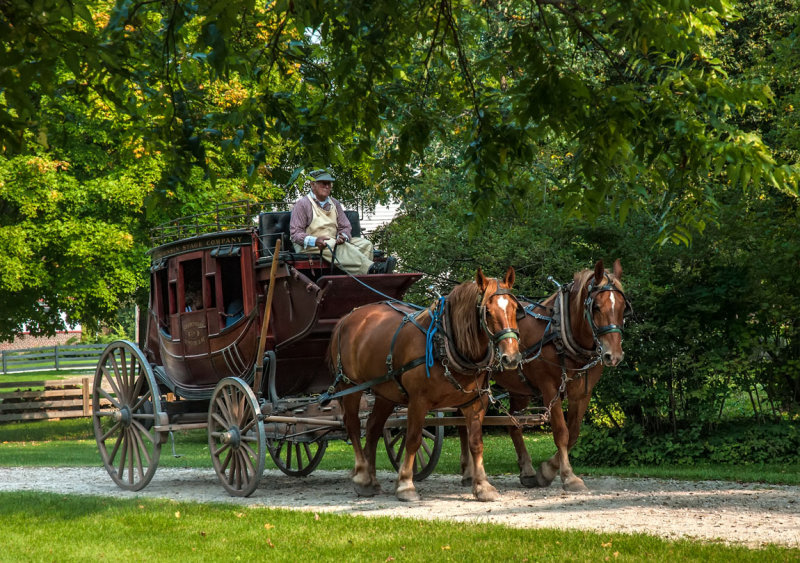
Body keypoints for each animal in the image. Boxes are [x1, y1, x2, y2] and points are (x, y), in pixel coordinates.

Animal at [328, 268, 520, 502]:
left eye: (515, 308)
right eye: (488, 312)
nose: (511, 357)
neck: (445, 343)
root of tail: (347, 317)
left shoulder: (475, 403)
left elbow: (476, 442)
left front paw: (482, 485)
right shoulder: (418, 402)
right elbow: (412, 439)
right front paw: (405, 484)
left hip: (385, 392)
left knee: (373, 427)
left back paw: (371, 480)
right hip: (350, 386)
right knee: (354, 426)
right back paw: (363, 476)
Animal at [460, 262, 628, 494]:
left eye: (623, 307)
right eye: (596, 307)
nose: (614, 355)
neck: (561, 333)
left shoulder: (583, 393)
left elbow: (573, 433)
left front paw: (546, 471)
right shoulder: (550, 389)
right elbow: (561, 432)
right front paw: (567, 476)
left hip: (519, 388)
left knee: (513, 425)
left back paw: (527, 470)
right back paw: (468, 472)